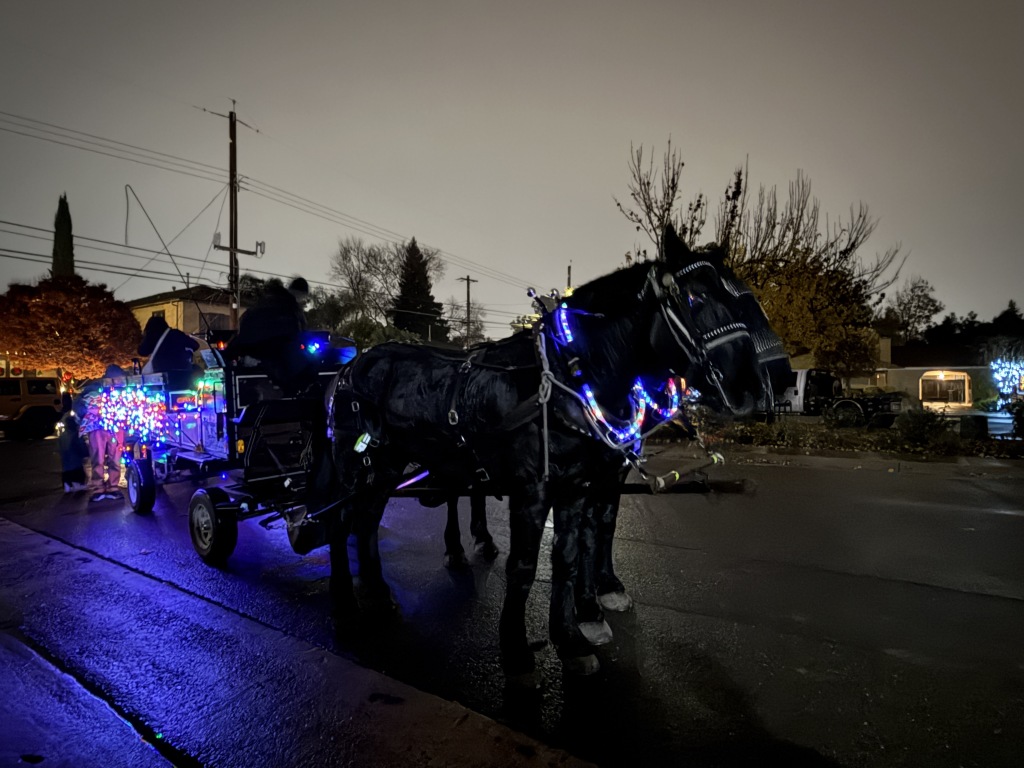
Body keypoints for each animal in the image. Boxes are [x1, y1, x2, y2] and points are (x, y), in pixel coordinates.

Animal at [322, 225, 770, 682]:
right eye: (695, 298)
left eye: (741, 297)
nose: (753, 387)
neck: (568, 379)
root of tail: (351, 367)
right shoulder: (534, 490)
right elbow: (523, 566)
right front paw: (518, 648)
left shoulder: (578, 485)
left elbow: (570, 555)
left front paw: (572, 636)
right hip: (356, 464)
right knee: (340, 524)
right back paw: (346, 601)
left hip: (385, 467)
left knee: (368, 522)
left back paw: (379, 591)